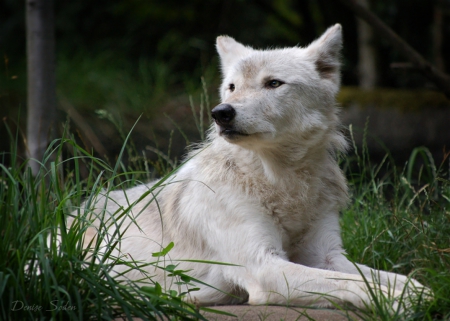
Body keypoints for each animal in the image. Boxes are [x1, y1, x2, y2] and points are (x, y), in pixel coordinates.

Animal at [81, 23, 426, 308]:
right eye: (232, 87)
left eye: (273, 83)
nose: (221, 113)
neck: (281, 179)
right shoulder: (263, 267)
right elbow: (354, 284)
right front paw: (399, 302)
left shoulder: (326, 255)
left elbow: (388, 276)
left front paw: (421, 292)